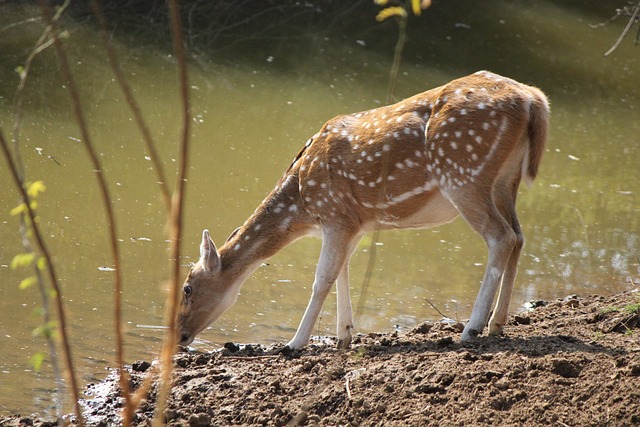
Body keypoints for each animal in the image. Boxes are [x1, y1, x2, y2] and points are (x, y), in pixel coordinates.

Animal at [178, 71, 548, 352]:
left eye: (187, 288)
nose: (180, 336)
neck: (301, 205)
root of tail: (533, 99)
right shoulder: (352, 222)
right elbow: (342, 273)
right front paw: (344, 336)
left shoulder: (334, 214)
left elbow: (321, 279)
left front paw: (295, 344)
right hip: (505, 181)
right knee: (518, 236)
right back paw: (497, 324)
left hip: (463, 174)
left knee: (500, 237)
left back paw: (471, 329)